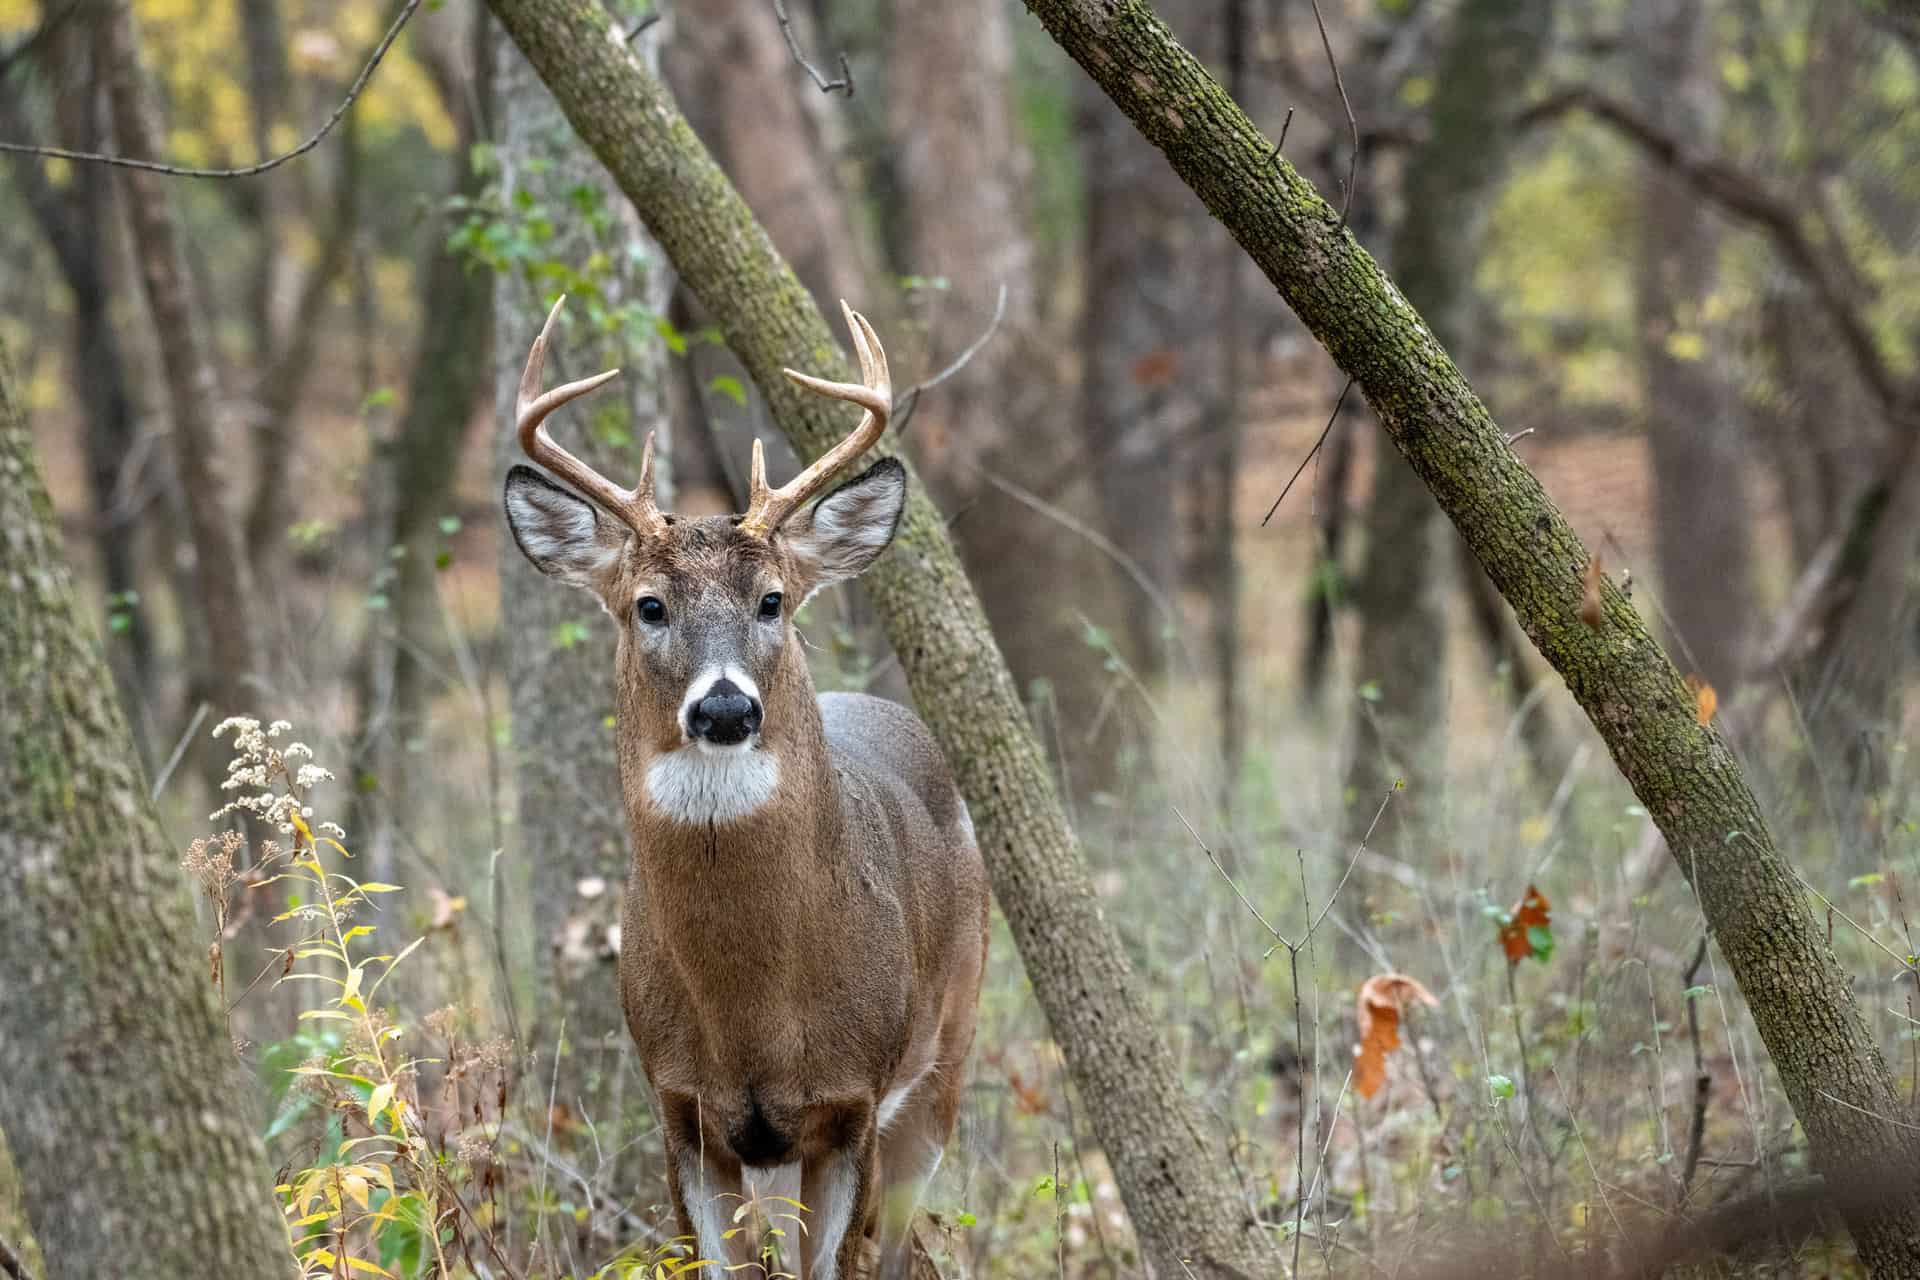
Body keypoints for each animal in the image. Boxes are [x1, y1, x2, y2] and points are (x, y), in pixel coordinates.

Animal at [502, 297, 989, 1280]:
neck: (752, 1010)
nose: (725, 705)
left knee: (901, 1244)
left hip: (945, 1056)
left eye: (772, 600)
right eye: (649, 605)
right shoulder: (682, 1107)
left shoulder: (851, 1101)